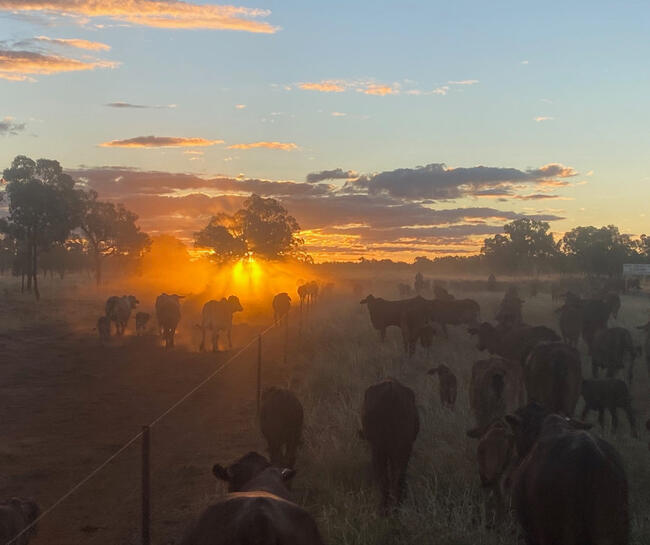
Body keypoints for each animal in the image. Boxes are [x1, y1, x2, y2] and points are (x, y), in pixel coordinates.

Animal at [356, 378, 418, 516]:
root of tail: (391, 391)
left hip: (380, 450)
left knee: (386, 479)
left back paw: (385, 509)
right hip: (401, 449)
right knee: (397, 478)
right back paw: (395, 506)